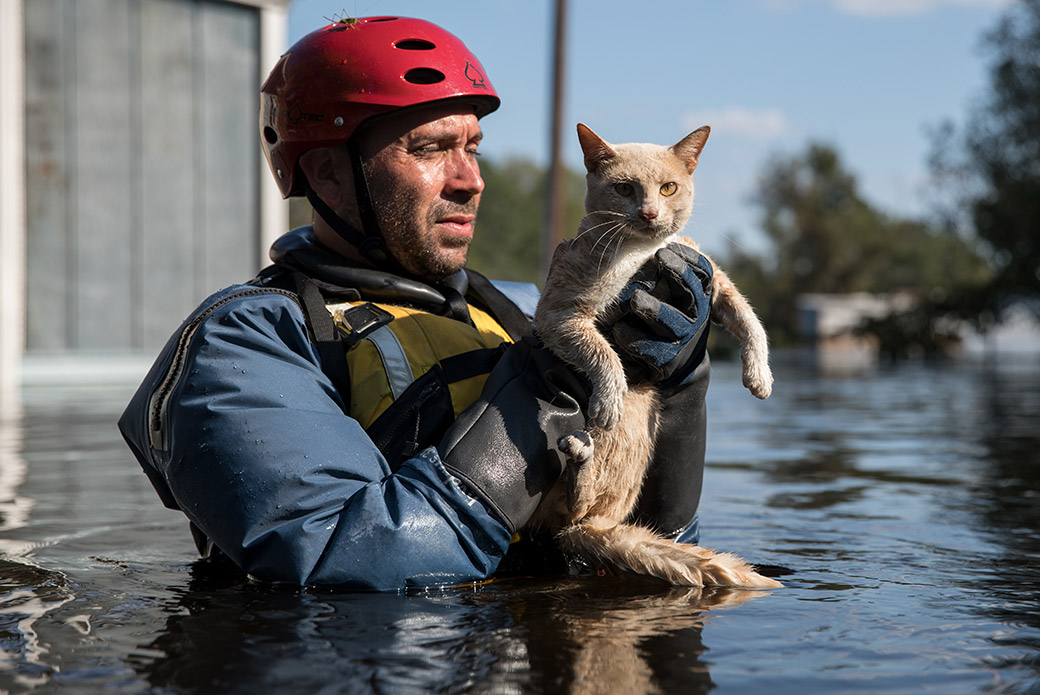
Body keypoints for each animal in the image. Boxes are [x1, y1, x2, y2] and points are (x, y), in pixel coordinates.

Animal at [528, 123, 782, 586]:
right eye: (624, 188)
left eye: (668, 188)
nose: (648, 213)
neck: (640, 255)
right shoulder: (559, 313)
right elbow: (602, 351)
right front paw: (608, 399)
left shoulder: (709, 273)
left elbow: (749, 318)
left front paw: (760, 376)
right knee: (570, 513)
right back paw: (579, 455)